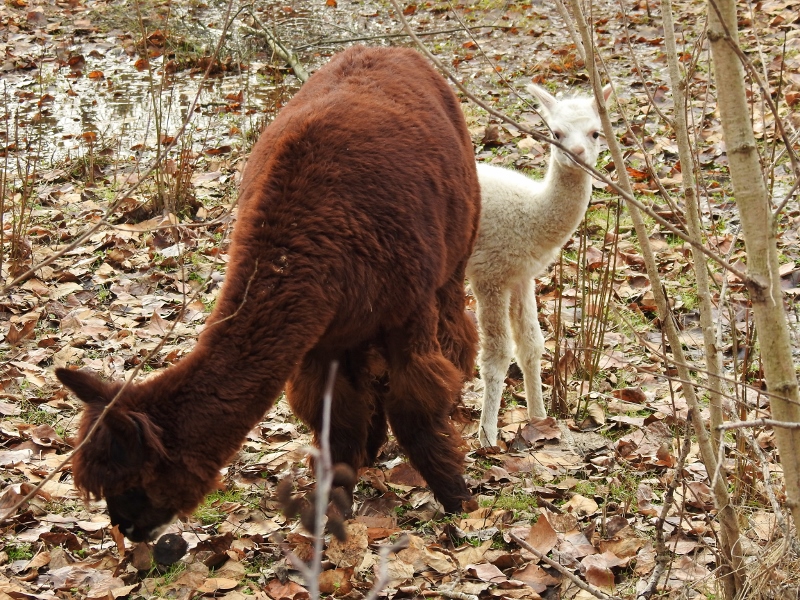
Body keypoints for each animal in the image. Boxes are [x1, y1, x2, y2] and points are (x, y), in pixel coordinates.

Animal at [56, 45, 481, 542]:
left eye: (131, 483)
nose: (125, 527)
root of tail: (391, 49)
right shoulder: (323, 334)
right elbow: (336, 418)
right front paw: (332, 506)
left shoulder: (404, 310)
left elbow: (415, 405)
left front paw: (457, 498)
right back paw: (372, 449)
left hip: (454, 252)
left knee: (456, 334)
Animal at [466, 83, 612, 447]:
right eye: (555, 133)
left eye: (595, 132)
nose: (576, 152)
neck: (530, 214)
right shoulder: (490, 275)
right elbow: (497, 356)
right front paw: (487, 438)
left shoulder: (521, 276)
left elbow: (531, 345)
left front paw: (539, 419)